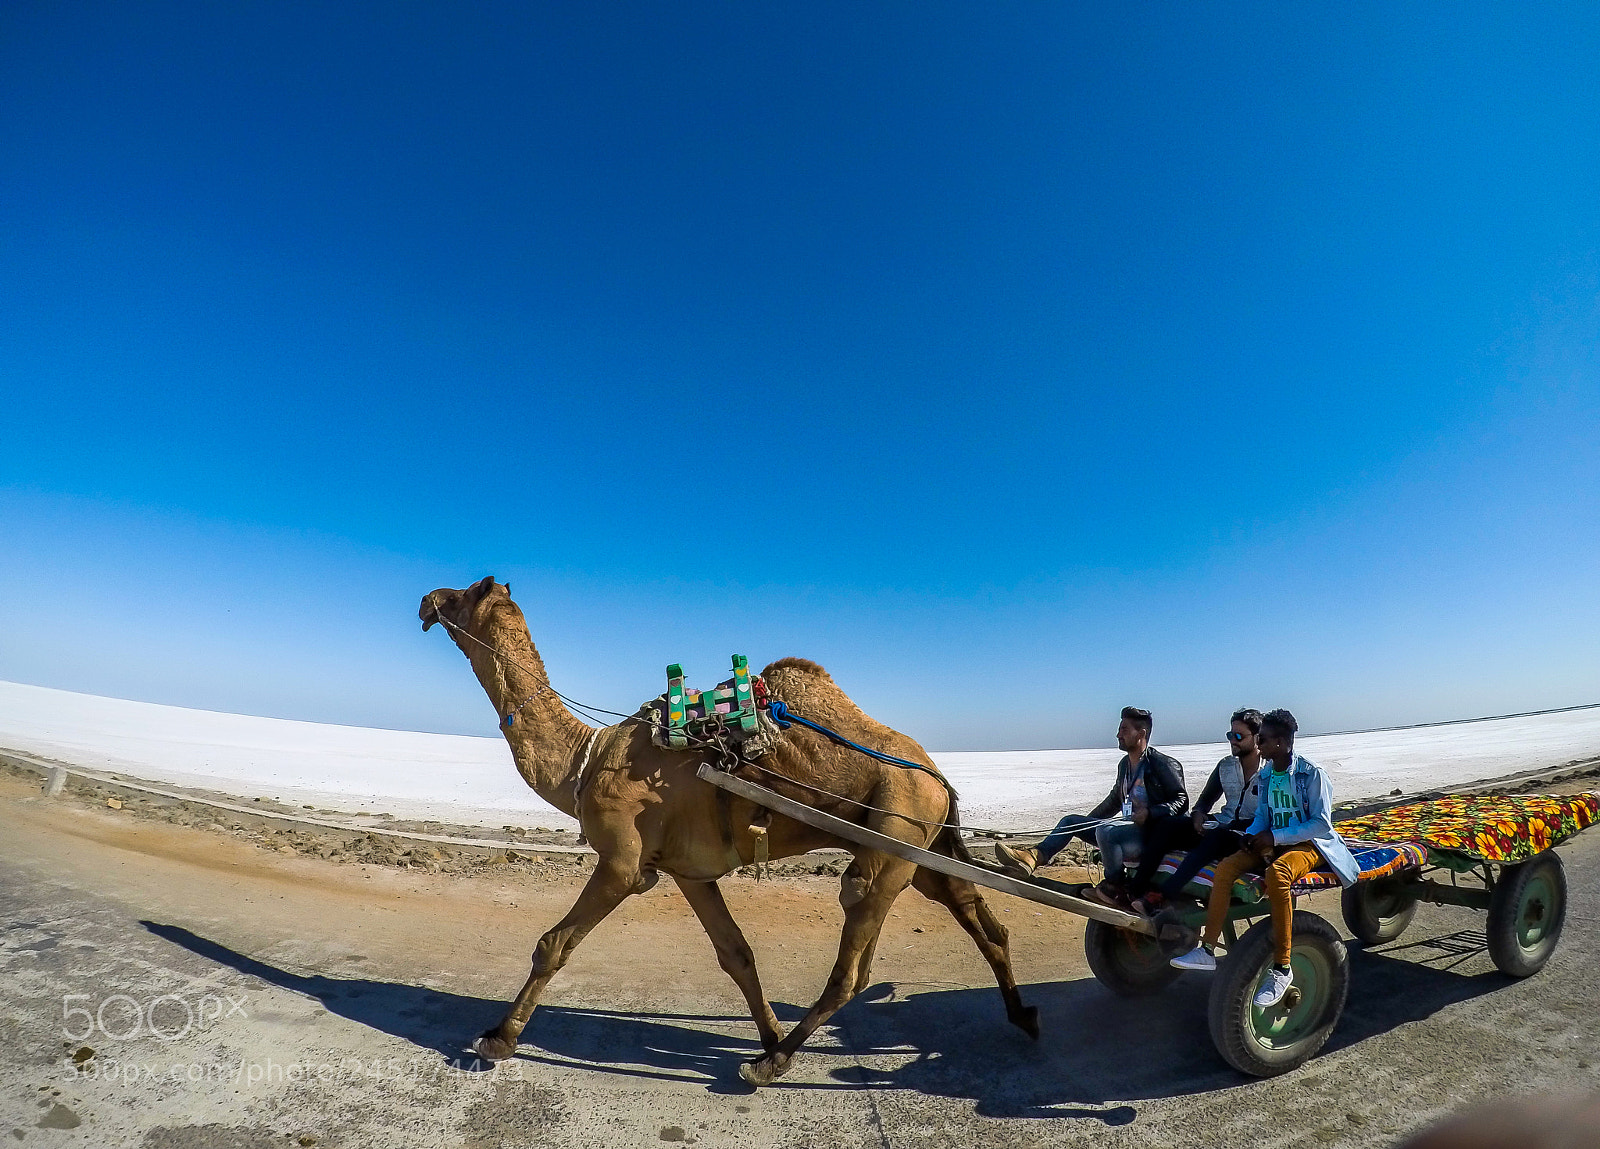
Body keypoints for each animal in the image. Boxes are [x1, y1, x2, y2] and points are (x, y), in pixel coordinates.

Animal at [420, 576, 1037, 1086]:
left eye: (467, 590)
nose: (428, 599)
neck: (587, 758)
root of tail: (937, 776)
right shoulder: (688, 871)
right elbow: (737, 955)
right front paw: (765, 1030)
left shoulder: (623, 862)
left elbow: (554, 944)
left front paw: (497, 1039)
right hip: (921, 846)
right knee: (978, 917)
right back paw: (1022, 1016)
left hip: (894, 836)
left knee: (855, 960)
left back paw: (774, 1063)